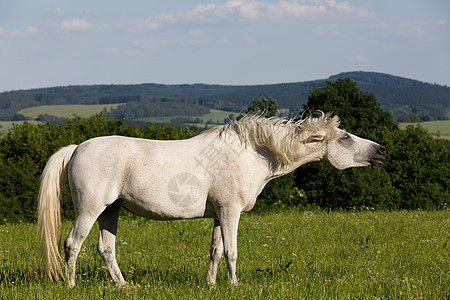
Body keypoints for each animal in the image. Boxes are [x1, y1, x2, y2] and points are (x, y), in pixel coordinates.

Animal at [37, 112, 384, 286]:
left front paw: (212, 285)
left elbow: (215, 251)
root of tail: (77, 148)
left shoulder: (218, 214)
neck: (252, 153)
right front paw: (234, 286)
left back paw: (123, 286)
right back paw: (70, 285)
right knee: (72, 244)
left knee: (105, 249)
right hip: (90, 209)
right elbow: (231, 251)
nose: (381, 151)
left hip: (111, 211)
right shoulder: (230, 212)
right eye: (345, 137)